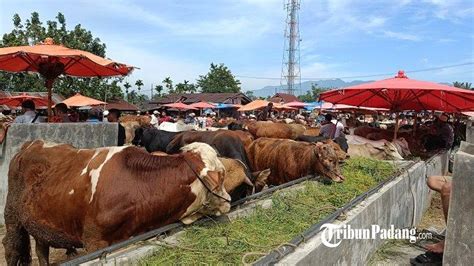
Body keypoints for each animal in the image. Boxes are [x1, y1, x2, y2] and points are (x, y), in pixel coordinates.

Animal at [1, 140, 231, 264]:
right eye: (221, 176)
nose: (229, 200)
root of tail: (31, 144)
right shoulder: (94, 242)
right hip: (12, 216)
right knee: (11, 246)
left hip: (40, 219)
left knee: (41, 248)